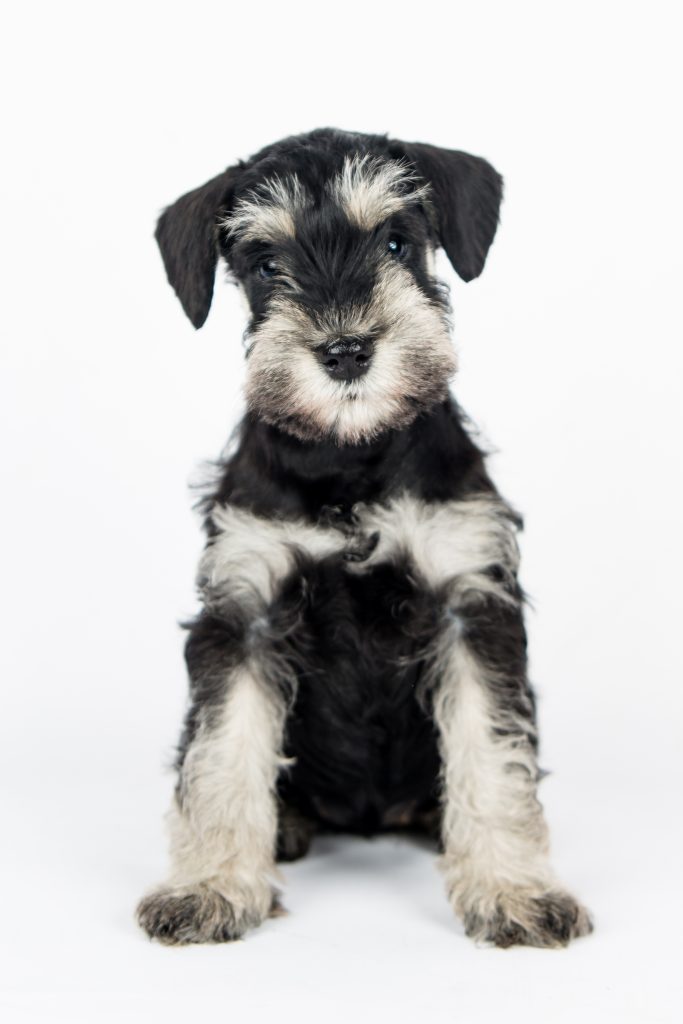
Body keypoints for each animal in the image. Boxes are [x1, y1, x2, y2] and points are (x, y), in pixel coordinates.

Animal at [136, 128, 592, 948]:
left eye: (394, 241)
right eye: (266, 264)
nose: (345, 351)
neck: (349, 459)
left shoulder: (468, 601)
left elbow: (493, 749)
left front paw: (512, 891)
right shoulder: (245, 611)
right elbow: (221, 751)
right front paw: (209, 888)